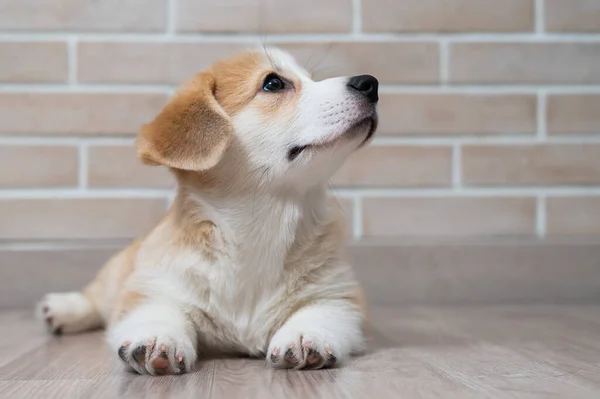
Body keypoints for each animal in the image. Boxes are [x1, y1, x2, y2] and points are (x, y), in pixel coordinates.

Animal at [36, 47, 380, 376]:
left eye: (311, 78)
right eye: (273, 83)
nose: (370, 83)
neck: (262, 223)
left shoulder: (339, 294)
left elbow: (319, 312)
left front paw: (304, 335)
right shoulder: (152, 289)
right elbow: (160, 311)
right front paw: (157, 338)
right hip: (118, 271)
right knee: (96, 297)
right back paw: (62, 309)